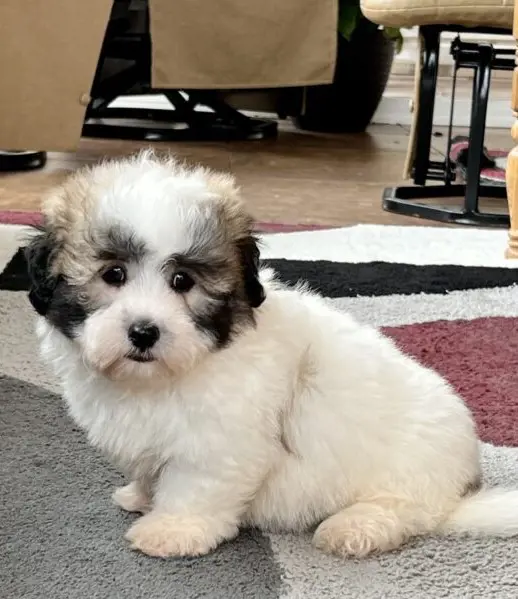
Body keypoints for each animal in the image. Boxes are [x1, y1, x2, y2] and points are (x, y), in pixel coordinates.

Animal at [26, 151, 518, 564]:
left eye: (183, 281)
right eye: (113, 274)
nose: (144, 332)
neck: (163, 376)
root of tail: (458, 486)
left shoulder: (219, 443)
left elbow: (194, 486)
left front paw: (171, 530)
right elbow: (151, 470)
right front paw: (140, 495)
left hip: (408, 474)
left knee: (404, 510)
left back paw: (353, 528)